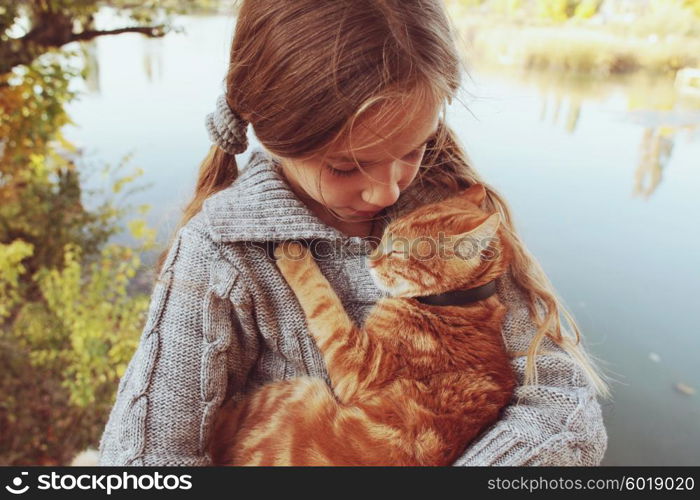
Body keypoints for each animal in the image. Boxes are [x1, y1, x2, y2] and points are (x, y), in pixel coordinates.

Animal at [206, 185, 516, 468]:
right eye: (384, 237)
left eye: (398, 250)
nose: (371, 259)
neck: (455, 305)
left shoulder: (359, 363)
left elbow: (321, 298)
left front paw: (293, 252)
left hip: (293, 392)